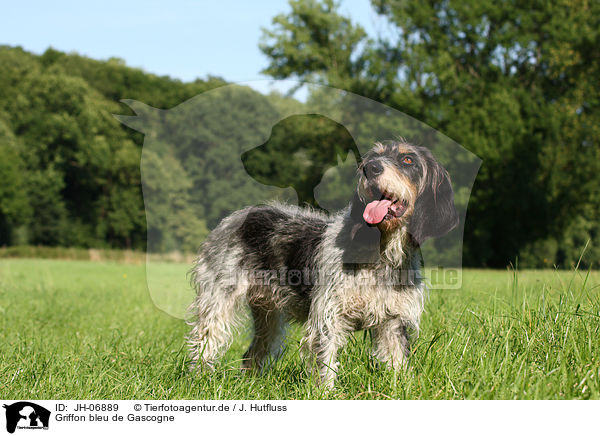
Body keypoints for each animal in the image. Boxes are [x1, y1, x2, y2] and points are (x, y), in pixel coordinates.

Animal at [185, 139, 458, 384]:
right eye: (374, 156)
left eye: (408, 160)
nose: (370, 167)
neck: (382, 252)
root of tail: (236, 216)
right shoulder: (328, 317)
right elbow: (325, 365)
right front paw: (326, 393)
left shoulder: (393, 322)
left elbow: (398, 364)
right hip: (217, 304)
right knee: (203, 345)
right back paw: (198, 381)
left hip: (268, 317)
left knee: (251, 355)